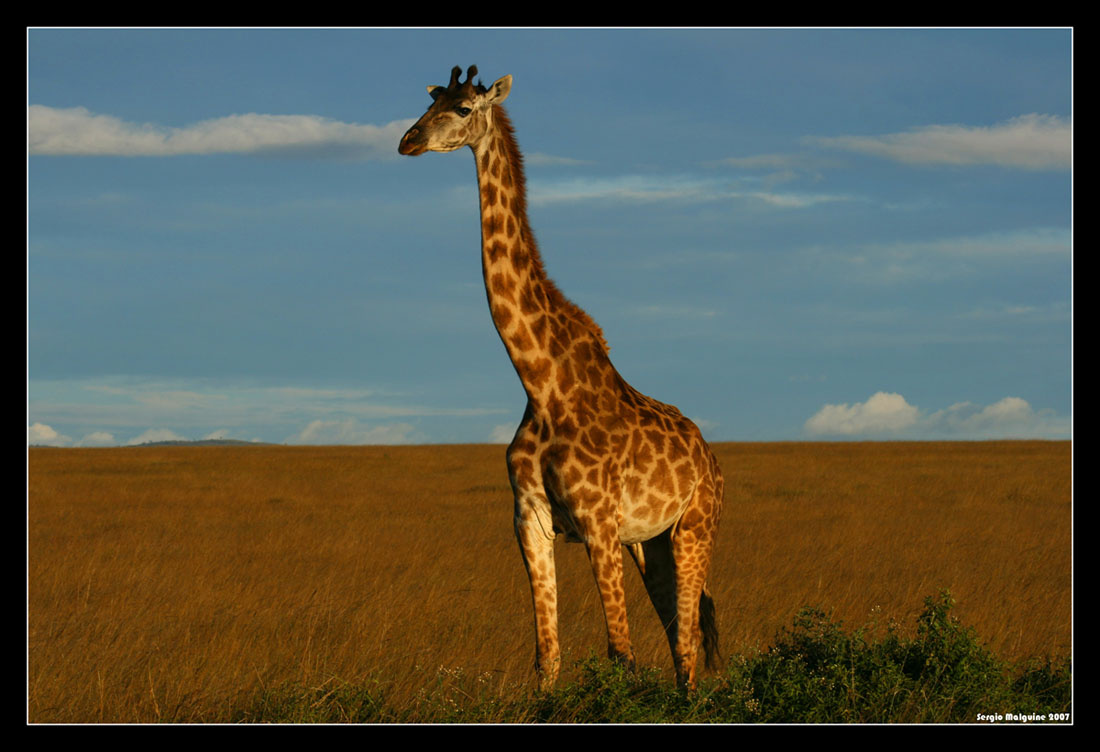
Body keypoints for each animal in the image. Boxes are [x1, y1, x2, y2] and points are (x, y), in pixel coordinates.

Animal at [399, 66, 723, 691]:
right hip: (649, 542)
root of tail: (710, 457)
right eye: (429, 104)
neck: (540, 380)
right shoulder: (530, 519)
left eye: (464, 108)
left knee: (689, 643)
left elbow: (621, 652)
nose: (408, 141)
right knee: (680, 635)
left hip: (694, 528)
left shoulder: (598, 520)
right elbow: (547, 656)